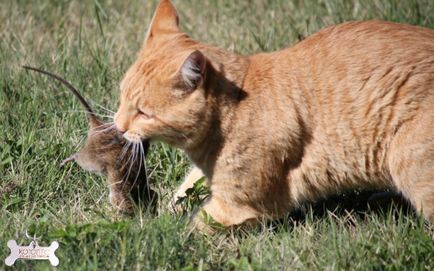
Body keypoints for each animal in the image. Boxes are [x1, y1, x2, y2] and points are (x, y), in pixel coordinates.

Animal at [114, 1, 434, 233]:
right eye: (122, 97)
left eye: (143, 113)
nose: (118, 126)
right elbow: (181, 194)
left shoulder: (238, 206)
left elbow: (185, 230)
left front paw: (146, 232)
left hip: (408, 164)